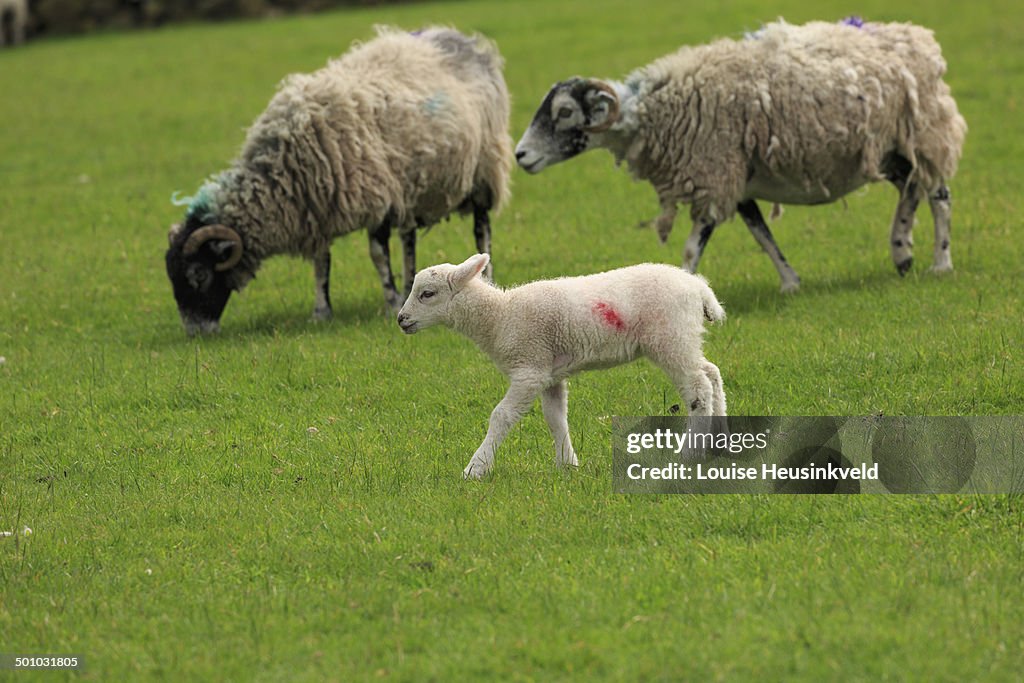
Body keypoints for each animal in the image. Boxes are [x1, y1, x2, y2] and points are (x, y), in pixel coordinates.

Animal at [165, 26, 512, 335]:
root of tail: (464, 40)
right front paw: (321, 312)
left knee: (481, 229)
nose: (196, 333)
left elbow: (376, 254)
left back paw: (486, 275)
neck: (284, 169)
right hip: (411, 186)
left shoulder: (377, 198)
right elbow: (321, 264)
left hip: (483, 170)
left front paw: (389, 301)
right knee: (408, 239)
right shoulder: (318, 212)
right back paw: (409, 280)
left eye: (198, 274)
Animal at [397, 253, 727, 479]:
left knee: (698, 387)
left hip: (669, 337)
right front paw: (568, 464)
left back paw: (689, 454)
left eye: (427, 294)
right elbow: (555, 418)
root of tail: (699, 289)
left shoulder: (529, 368)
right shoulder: (549, 373)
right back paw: (720, 442)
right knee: (712, 373)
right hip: (683, 337)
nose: (401, 320)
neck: (500, 317)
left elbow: (501, 416)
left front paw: (475, 468)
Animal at [514, 18, 967, 292]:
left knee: (938, 194)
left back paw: (937, 261)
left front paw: (683, 290)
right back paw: (902, 250)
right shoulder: (738, 182)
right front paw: (790, 282)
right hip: (889, 150)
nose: (520, 155)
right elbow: (762, 235)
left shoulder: (716, 176)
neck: (655, 113)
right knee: (912, 187)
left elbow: (692, 249)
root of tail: (916, 38)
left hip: (922, 134)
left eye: (565, 112)